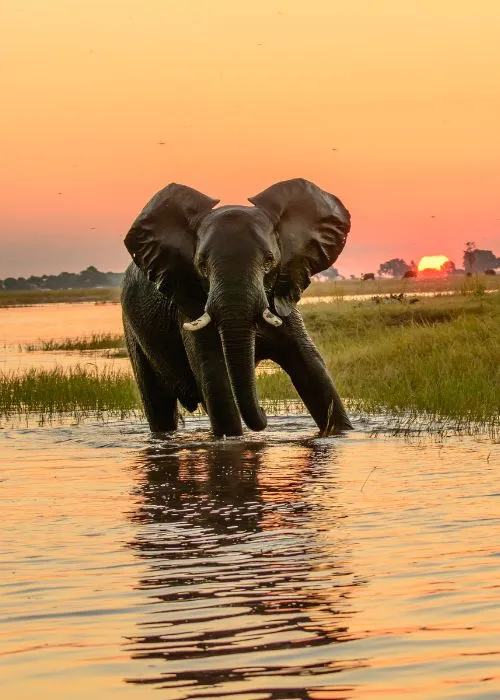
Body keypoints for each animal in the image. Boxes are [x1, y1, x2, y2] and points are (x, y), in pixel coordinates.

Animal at [121, 177, 353, 437]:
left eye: (269, 260)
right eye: (201, 265)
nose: (264, 412)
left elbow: (312, 369)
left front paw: (342, 434)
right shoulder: (190, 304)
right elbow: (216, 379)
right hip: (132, 330)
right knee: (158, 404)